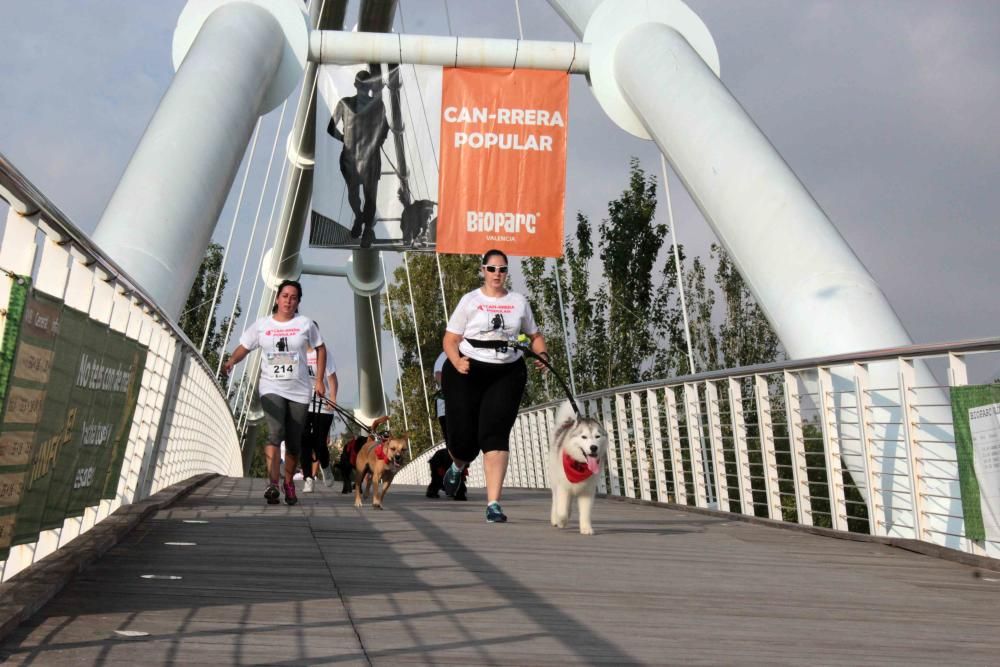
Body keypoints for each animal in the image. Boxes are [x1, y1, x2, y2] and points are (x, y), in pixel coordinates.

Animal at [548, 400, 608, 536]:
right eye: (584, 437)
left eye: (597, 436)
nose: (593, 447)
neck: (579, 465)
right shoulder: (563, 487)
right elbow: (562, 511)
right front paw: (561, 521)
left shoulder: (587, 491)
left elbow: (585, 512)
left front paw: (586, 528)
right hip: (555, 480)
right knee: (556, 500)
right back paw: (555, 518)